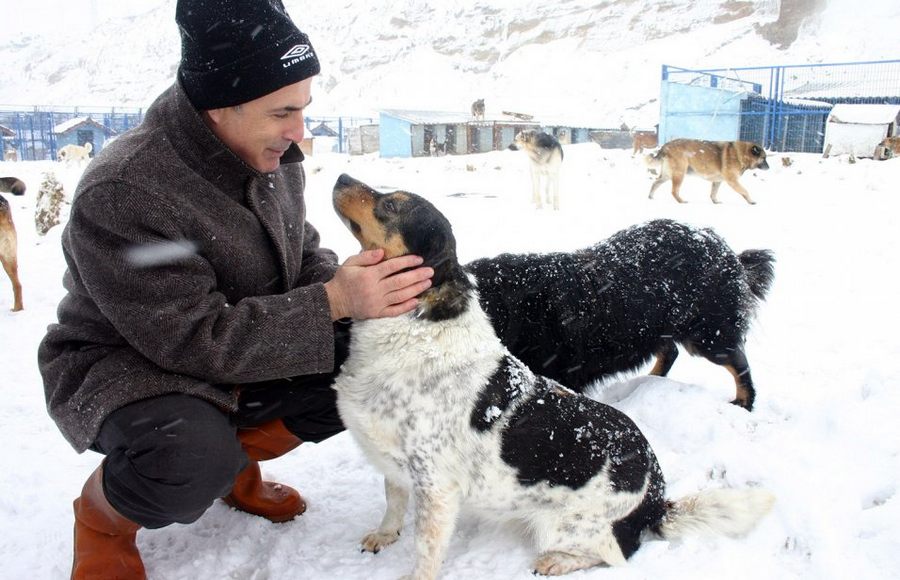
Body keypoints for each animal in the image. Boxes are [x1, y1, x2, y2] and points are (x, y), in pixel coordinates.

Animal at [330, 173, 772, 580]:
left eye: (391, 204)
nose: (342, 177)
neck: (412, 330)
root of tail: (656, 502)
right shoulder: (396, 464)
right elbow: (393, 501)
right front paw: (384, 534)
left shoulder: (435, 486)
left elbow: (425, 550)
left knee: (616, 553)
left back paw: (556, 561)